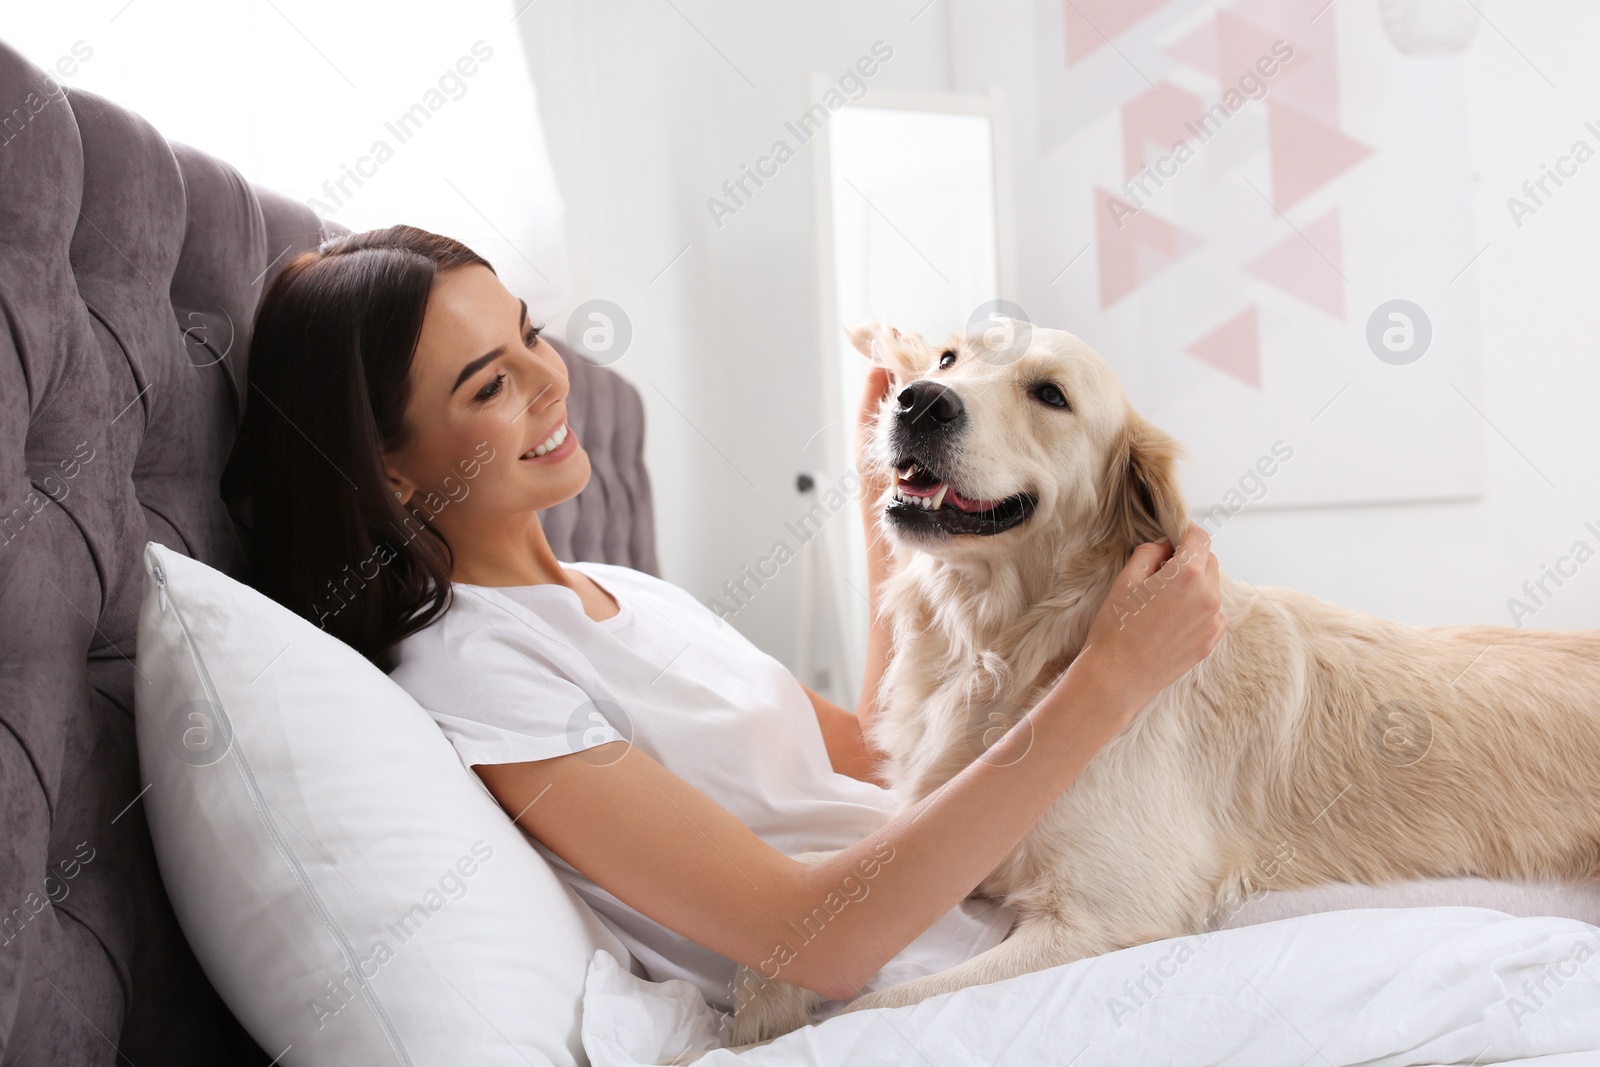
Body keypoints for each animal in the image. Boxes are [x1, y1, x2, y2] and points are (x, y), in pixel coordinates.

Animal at [732, 316, 1600, 1043]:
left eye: (1050, 394)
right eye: (947, 358)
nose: (917, 400)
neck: (1019, 651)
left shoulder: (1103, 918)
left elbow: (866, 1010)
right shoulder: (958, 838)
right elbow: (816, 871)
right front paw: (756, 1000)